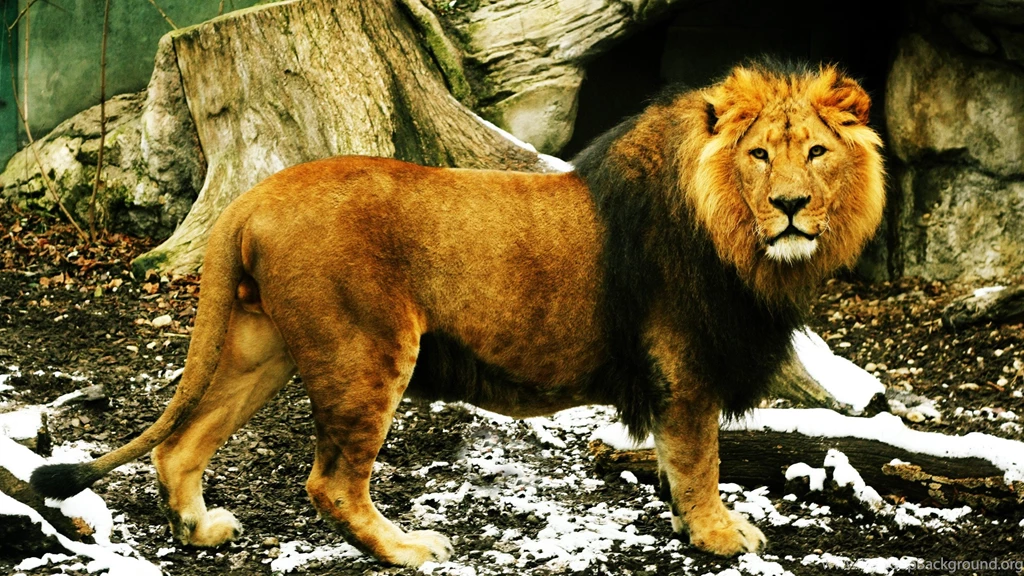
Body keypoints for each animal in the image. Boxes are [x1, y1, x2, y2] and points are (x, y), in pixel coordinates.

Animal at [31, 61, 884, 567]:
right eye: (758, 155)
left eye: (815, 153)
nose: (791, 206)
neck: (739, 239)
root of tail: (252, 195)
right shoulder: (684, 361)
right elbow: (700, 459)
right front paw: (719, 537)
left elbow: (679, 464)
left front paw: (692, 526)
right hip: (365, 350)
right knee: (330, 482)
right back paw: (406, 549)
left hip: (260, 344)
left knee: (182, 444)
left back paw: (200, 528)